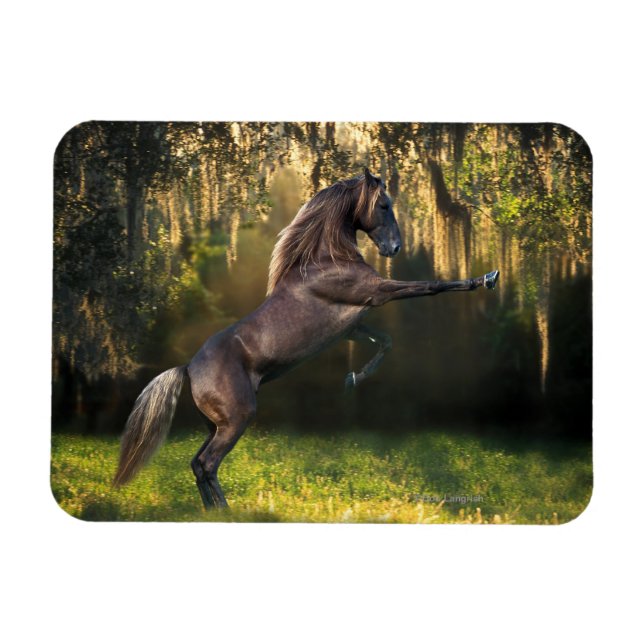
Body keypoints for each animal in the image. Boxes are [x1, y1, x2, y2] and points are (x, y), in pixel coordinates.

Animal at [113, 168, 499, 509]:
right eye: (384, 205)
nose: (395, 247)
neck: (327, 260)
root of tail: (188, 368)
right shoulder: (377, 293)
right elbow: (431, 286)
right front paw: (486, 278)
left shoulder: (352, 326)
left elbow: (385, 341)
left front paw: (351, 379)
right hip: (236, 419)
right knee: (208, 464)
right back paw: (225, 511)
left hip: (215, 424)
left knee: (197, 464)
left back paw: (214, 512)